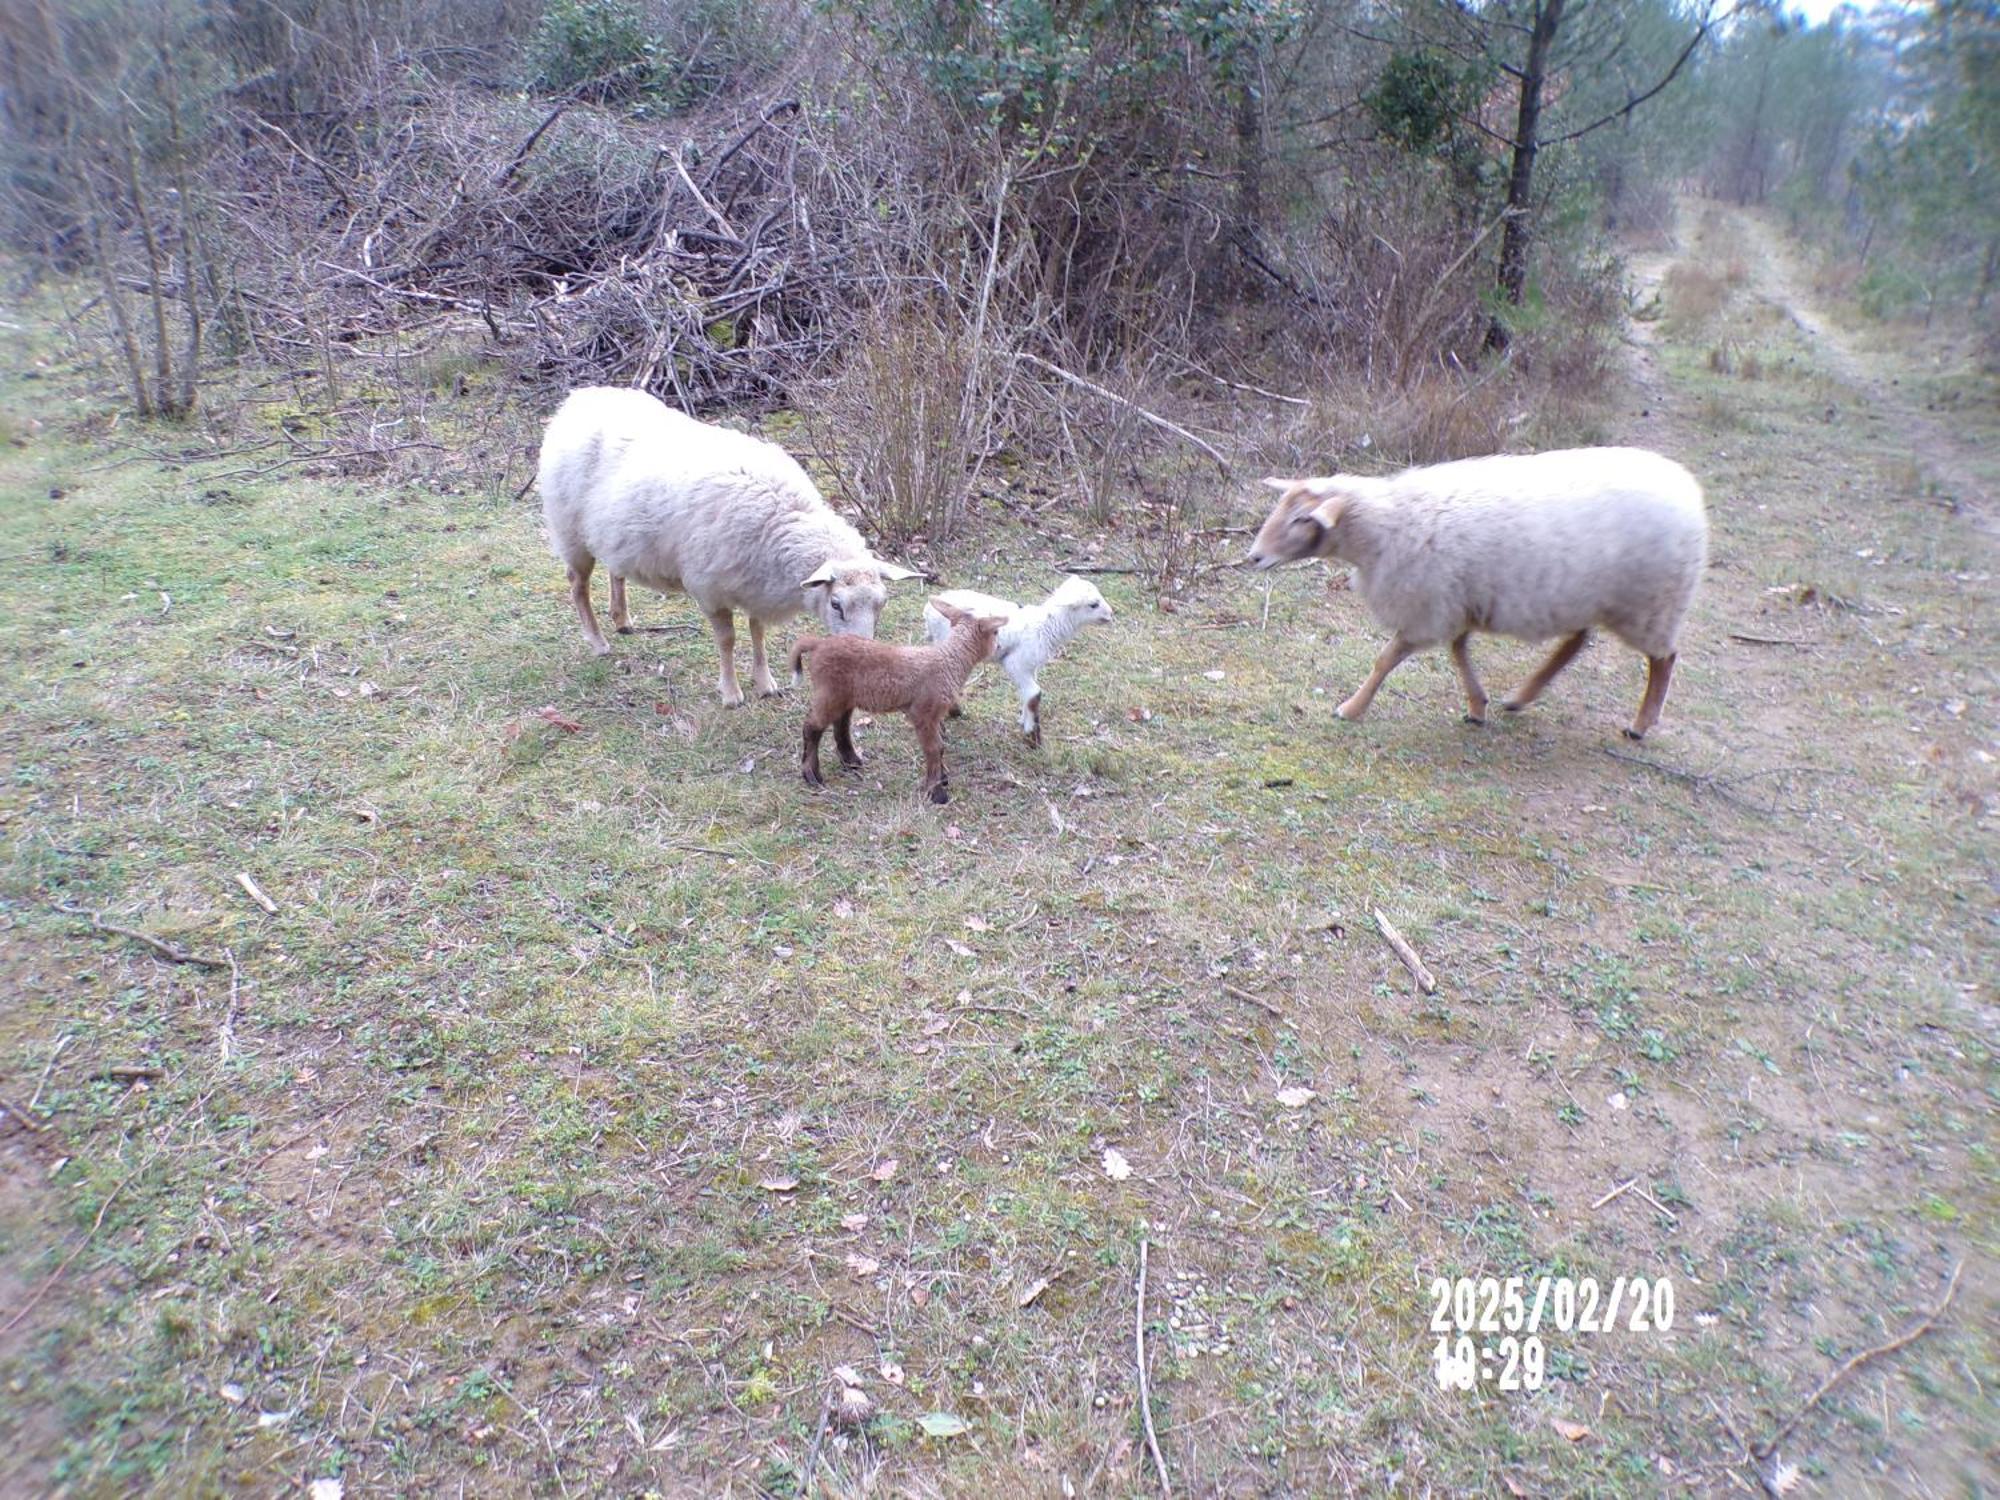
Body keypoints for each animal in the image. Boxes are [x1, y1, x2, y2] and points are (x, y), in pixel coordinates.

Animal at [536, 394, 916, 712]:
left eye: (881, 604)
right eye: (836, 604)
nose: (865, 660)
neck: (782, 517)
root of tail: (576, 400)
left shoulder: (755, 585)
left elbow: (757, 632)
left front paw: (765, 683)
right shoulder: (710, 590)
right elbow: (728, 640)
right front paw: (732, 693)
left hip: (612, 534)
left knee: (616, 570)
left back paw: (622, 619)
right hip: (570, 531)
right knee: (578, 586)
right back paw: (597, 641)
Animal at [784, 604, 996, 804]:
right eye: (994, 632)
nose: (997, 647)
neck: (949, 660)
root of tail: (818, 644)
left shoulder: (934, 716)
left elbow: (940, 746)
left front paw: (942, 778)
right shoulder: (923, 714)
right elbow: (933, 749)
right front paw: (936, 793)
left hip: (844, 695)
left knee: (840, 724)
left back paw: (850, 760)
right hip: (829, 692)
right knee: (812, 727)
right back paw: (812, 775)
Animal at [916, 576, 1112, 748]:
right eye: (1093, 604)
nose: (1111, 614)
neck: (1045, 626)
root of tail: (928, 609)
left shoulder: (1030, 666)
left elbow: (1027, 695)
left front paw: (1024, 721)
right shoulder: (1016, 663)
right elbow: (1034, 694)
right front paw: (1032, 736)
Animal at [1248, 452, 1704, 748]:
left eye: (1302, 519)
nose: (1253, 557)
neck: (1389, 526)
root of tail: (1689, 491)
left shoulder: (1426, 608)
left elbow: (1385, 660)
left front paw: (1350, 708)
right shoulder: (1453, 604)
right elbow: (1458, 651)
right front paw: (1476, 705)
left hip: (1650, 603)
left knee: (1664, 659)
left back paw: (1641, 723)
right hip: (1582, 596)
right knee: (1576, 641)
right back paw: (1521, 696)